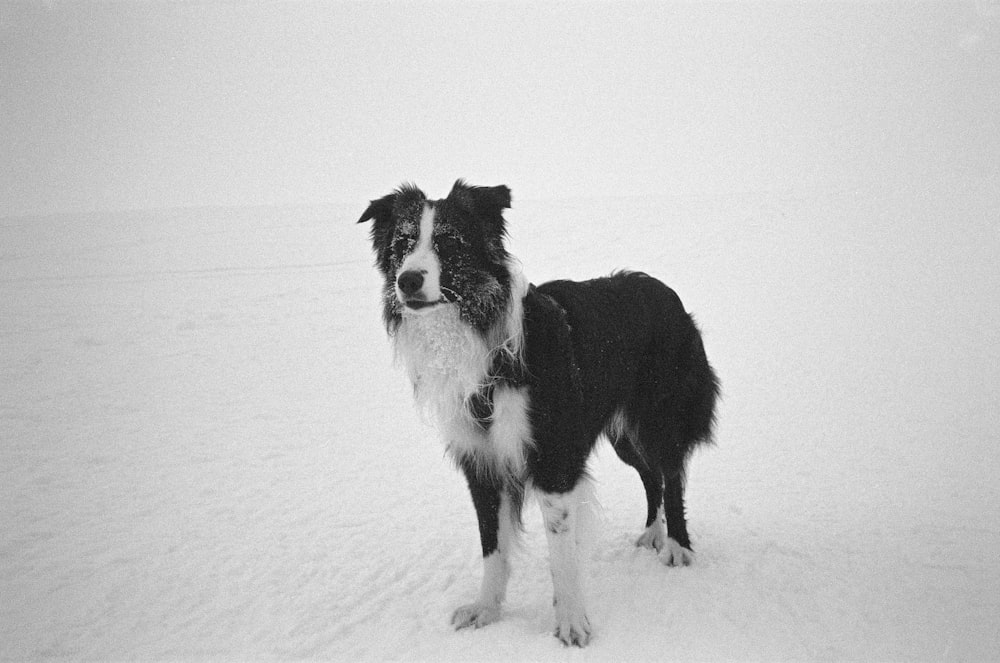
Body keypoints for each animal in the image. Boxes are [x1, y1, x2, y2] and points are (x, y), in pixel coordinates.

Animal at [360, 179, 720, 644]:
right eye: (402, 245)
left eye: (449, 243)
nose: (407, 280)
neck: (483, 344)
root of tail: (665, 291)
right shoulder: (482, 461)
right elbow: (492, 544)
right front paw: (486, 610)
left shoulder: (554, 457)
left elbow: (561, 553)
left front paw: (571, 622)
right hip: (623, 434)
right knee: (650, 475)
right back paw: (653, 533)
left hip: (659, 416)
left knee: (671, 473)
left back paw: (676, 545)